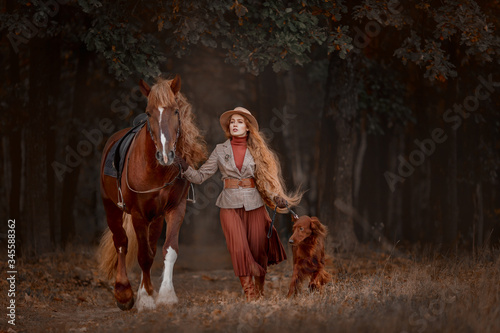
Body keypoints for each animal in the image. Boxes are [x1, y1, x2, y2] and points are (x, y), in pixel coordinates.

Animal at [97, 76, 207, 310]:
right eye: (148, 113)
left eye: (176, 111)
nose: (166, 155)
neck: (159, 170)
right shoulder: (138, 214)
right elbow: (143, 256)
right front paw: (145, 298)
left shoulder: (175, 209)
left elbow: (168, 250)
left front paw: (165, 295)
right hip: (111, 208)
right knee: (121, 243)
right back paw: (124, 293)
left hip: (155, 218)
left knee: (150, 247)